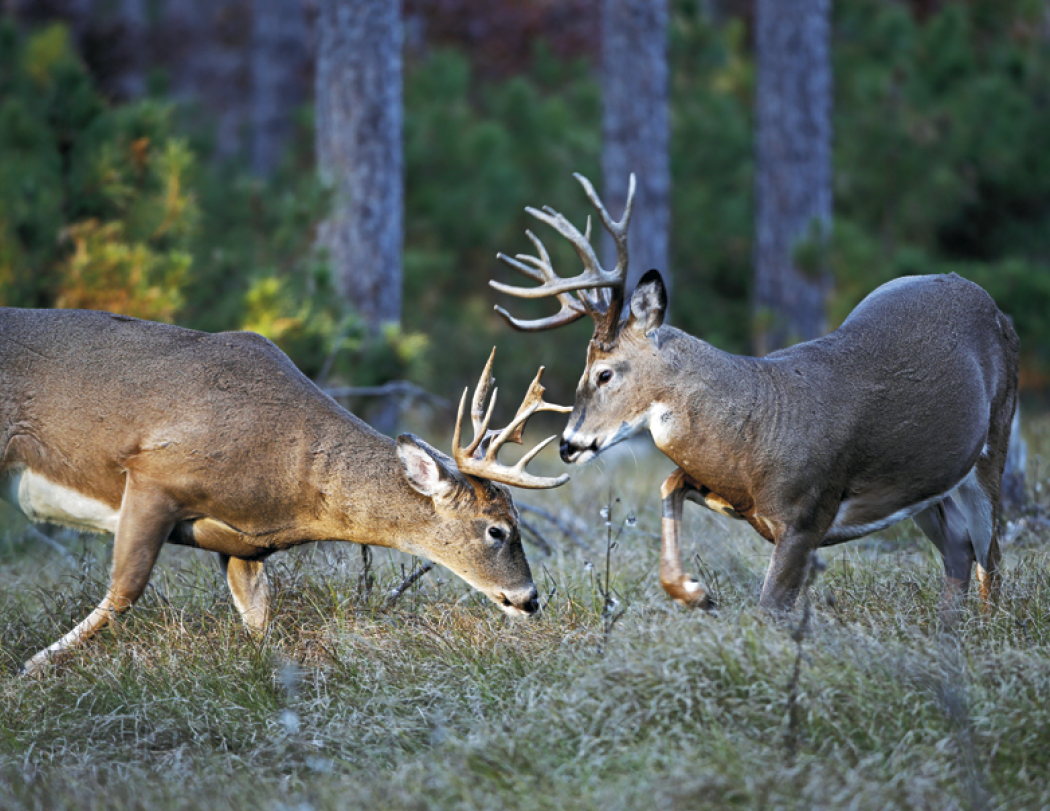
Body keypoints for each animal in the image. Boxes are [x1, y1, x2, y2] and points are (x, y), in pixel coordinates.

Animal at [0, 307, 570, 675]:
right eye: (496, 530)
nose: (530, 600)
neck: (292, 475)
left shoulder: (244, 546)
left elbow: (259, 620)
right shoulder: (152, 473)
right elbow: (124, 591)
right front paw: (30, 669)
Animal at [490, 173, 1020, 614]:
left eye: (604, 374)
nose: (567, 444)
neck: (759, 426)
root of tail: (997, 308)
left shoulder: (807, 515)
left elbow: (769, 610)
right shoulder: (734, 496)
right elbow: (668, 484)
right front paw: (694, 592)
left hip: (994, 441)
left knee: (990, 553)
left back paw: (986, 629)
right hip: (926, 485)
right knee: (960, 551)